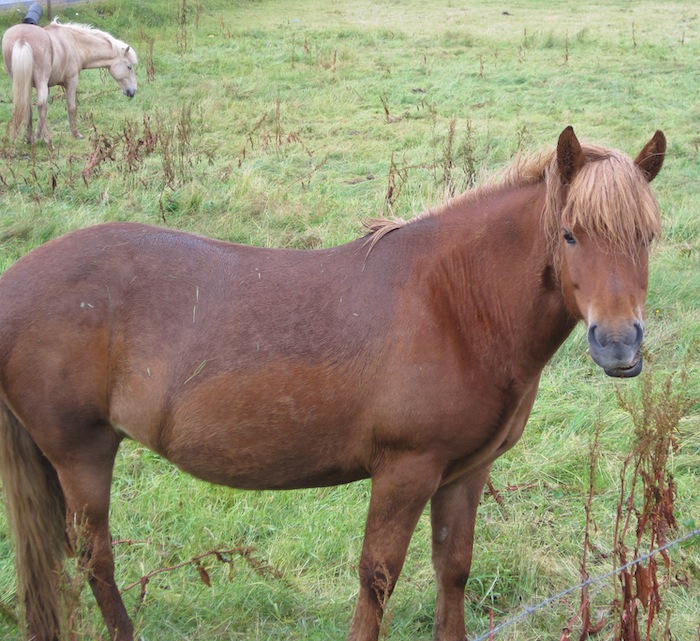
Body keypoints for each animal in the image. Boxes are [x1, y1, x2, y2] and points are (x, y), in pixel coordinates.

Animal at [0, 126, 668, 640]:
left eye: (647, 236)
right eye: (570, 233)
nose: (618, 346)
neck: (453, 302)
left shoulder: (465, 473)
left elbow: (453, 569)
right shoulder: (405, 470)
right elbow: (378, 577)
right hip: (81, 453)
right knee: (95, 560)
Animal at [1, 19, 137, 147]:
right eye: (129, 67)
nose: (133, 91)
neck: (73, 43)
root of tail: (22, 39)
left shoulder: (47, 86)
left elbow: (43, 113)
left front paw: (37, 136)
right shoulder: (71, 81)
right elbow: (71, 107)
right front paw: (75, 134)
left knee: (28, 107)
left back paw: (29, 140)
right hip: (40, 82)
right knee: (40, 106)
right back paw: (49, 143)